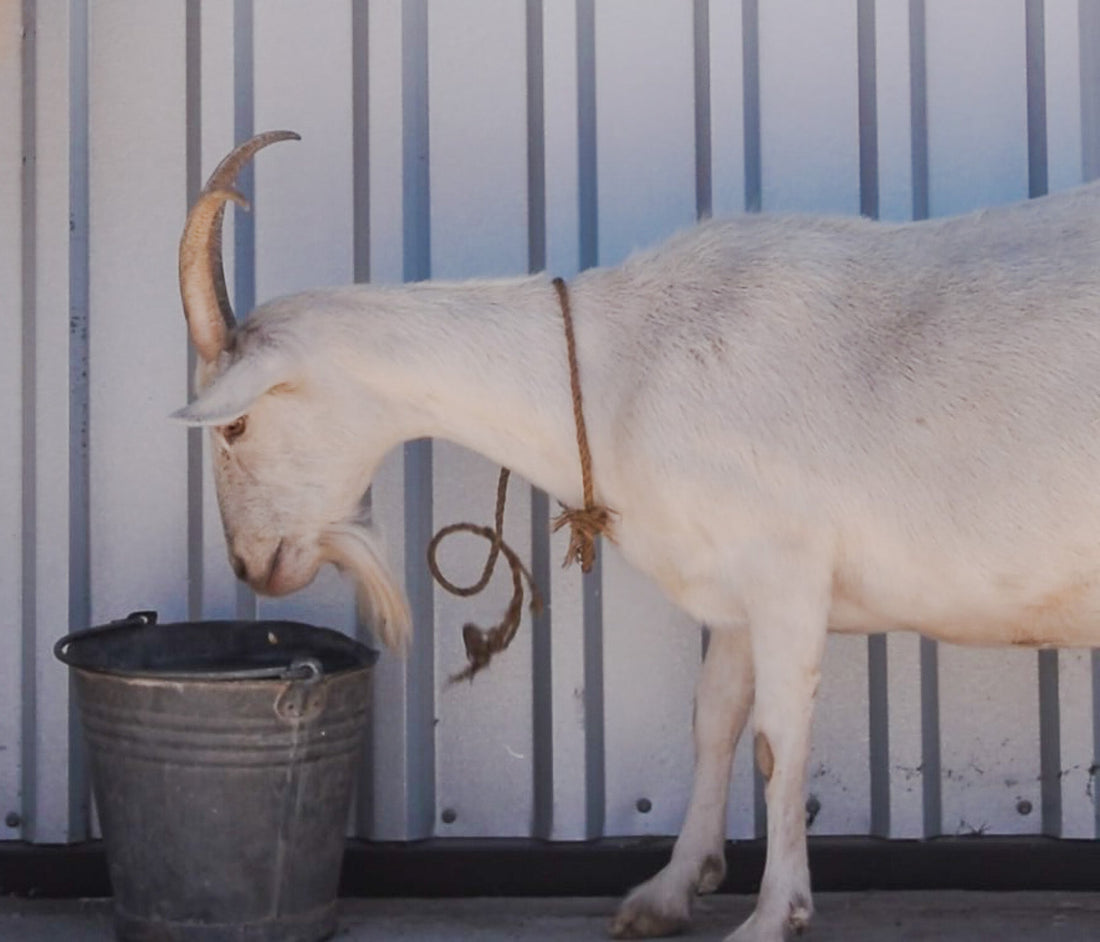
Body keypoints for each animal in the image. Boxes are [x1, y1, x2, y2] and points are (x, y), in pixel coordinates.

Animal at [176, 131, 1100, 942]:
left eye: (234, 427)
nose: (250, 563)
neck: (626, 365)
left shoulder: (787, 573)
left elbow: (778, 742)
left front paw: (773, 917)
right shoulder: (731, 591)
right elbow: (714, 721)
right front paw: (668, 892)